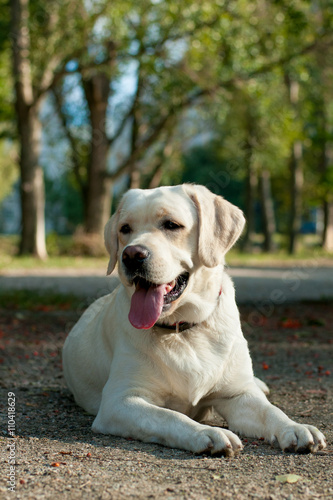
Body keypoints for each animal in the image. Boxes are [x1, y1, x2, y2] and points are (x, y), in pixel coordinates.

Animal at [62, 185, 324, 458]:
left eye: (171, 225)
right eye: (125, 229)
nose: (132, 255)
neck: (182, 330)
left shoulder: (237, 396)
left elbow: (270, 410)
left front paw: (295, 427)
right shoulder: (119, 401)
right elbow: (169, 416)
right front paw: (208, 433)